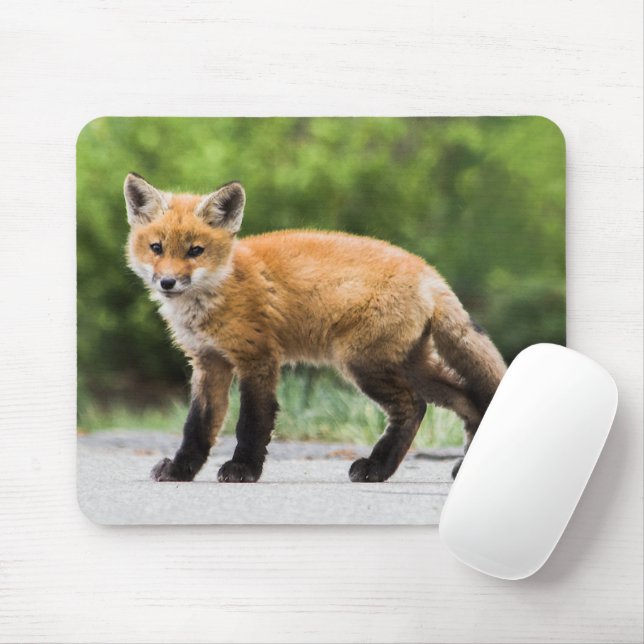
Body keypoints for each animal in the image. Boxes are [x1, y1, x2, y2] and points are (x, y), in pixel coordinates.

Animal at [124, 173, 507, 484]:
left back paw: (376, 468)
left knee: (414, 407)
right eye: (156, 248)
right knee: (466, 398)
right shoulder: (209, 362)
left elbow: (252, 422)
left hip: (363, 363)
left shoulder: (258, 358)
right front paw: (180, 470)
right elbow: (198, 427)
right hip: (412, 365)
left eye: (196, 251)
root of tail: (428, 271)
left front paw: (243, 469)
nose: (168, 282)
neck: (220, 289)